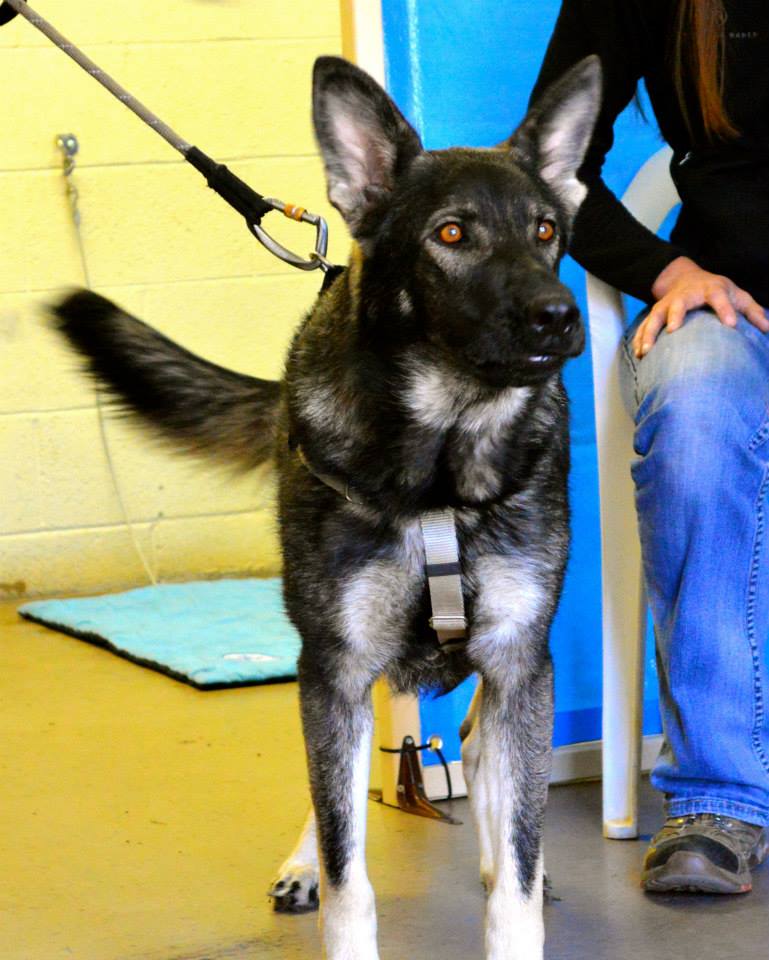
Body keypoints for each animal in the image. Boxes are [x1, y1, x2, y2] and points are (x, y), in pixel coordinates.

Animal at [54, 58, 600, 960]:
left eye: (548, 231)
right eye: (452, 235)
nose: (559, 316)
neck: (440, 466)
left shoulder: (521, 662)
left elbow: (514, 879)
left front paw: (514, 873)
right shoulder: (336, 669)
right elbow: (350, 872)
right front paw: (329, 880)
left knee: (485, 764)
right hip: (329, 677)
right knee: (336, 793)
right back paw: (306, 861)